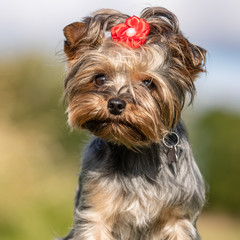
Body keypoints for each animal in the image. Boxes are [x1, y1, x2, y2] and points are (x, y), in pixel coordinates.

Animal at [61, 6, 205, 240]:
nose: (115, 104)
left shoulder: (180, 219)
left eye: (148, 83)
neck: (136, 148)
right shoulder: (95, 213)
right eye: (100, 78)